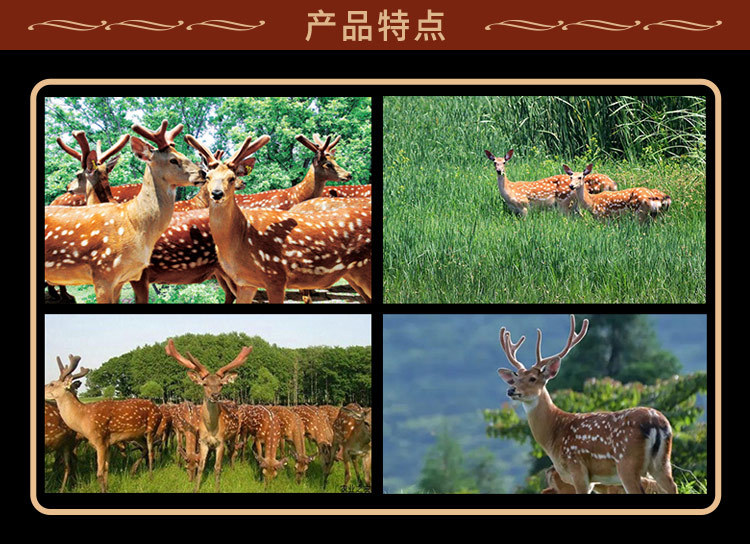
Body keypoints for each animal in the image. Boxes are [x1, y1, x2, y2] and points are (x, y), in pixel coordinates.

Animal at [44, 120, 207, 303]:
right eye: (173, 159)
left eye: (78, 174)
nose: (203, 173)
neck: (132, 223)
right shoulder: (102, 273)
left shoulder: (122, 278)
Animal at [44, 354, 162, 492]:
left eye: (52, 384)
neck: (83, 419)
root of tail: (159, 410)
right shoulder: (106, 443)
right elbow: (106, 469)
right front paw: (107, 488)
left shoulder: (100, 439)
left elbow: (99, 473)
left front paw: (103, 489)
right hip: (137, 434)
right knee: (144, 448)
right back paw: (133, 471)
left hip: (151, 427)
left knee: (150, 450)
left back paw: (150, 477)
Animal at [164, 338, 250, 492]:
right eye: (204, 384)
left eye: (221, 384)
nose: (215, 395)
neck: (211, 428)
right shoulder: (203, 441)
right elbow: (201, 467)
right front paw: (196, 488)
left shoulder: (220, 441)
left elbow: (217, 467)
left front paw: (217, 488)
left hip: (236, 433)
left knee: (233, 450)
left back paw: (232, 467)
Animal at [496, 314, 677, 494]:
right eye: (516, 378)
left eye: (533, 378)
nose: (511, 390)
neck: (554, 434)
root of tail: (658, 423)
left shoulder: (577, 467)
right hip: (662, 463)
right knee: (672, 485)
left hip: (627, 461)